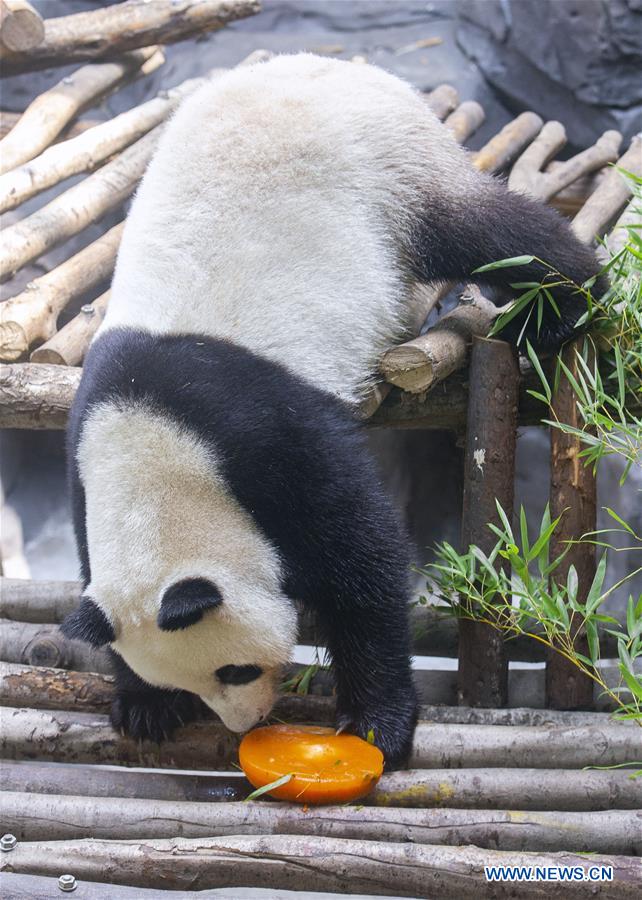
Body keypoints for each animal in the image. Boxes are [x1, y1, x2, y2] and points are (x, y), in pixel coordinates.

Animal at [62, 52, 604, 764]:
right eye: (197, 681)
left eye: (233, 670)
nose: (244, 723)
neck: (150, 444)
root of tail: (330, 63)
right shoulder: (86, 449)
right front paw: (145, 706)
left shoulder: (262, 433)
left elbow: (362, 556)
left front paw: (377, 721)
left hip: (391, 170)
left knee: (490, 232)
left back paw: (564, 306)